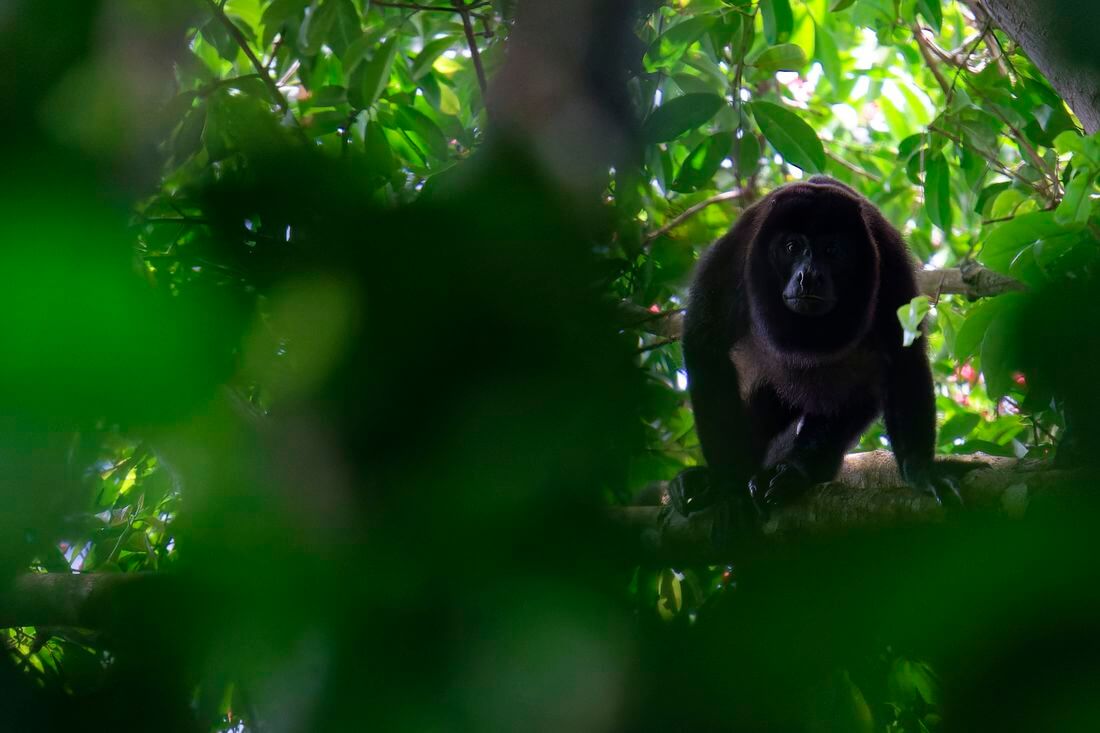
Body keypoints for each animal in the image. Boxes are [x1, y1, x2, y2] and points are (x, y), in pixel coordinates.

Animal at [680, 175, 960, 516]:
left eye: (832, 249)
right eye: (792, 247)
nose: (809, 276)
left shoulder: (889, 260)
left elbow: (902, 357)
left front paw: (922, 472)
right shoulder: (734, 254)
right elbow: (705, 344)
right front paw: (728, 488)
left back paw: (799, 473)